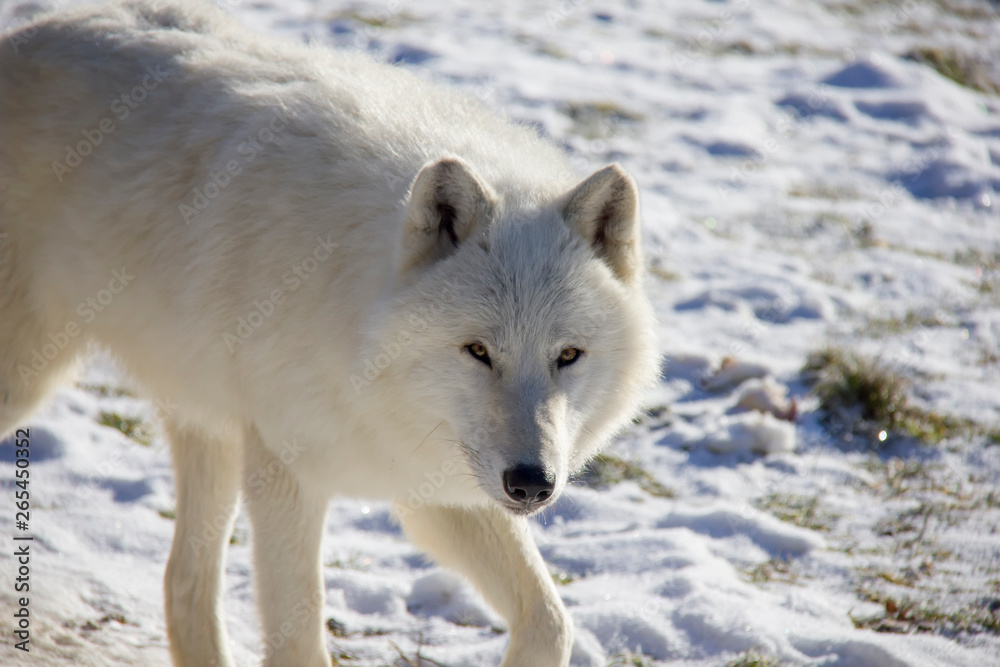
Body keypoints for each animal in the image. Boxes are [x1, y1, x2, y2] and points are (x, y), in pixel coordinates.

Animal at [0, 1, 659, 665]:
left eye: (568, 355)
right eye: (478, 351)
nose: (531, 485)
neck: (358, 347)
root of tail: (29, 33)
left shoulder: (431, 486)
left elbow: (550, 622)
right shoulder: (286, 475)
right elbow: (298, 640)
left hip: (208, 430)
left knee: (182, 581)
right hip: (30, 388)